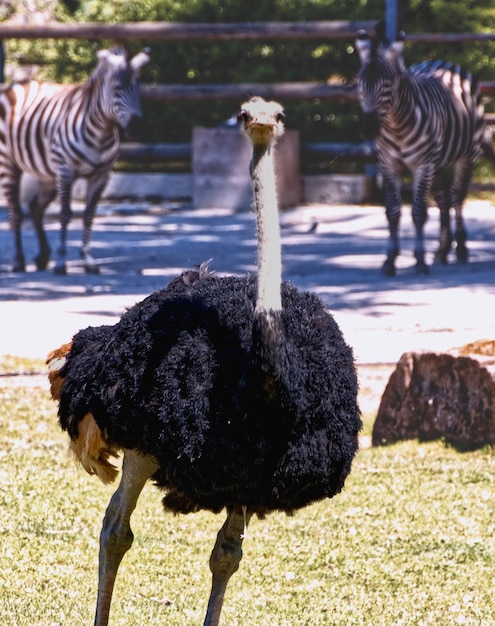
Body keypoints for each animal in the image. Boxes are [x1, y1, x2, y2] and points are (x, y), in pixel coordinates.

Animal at [0, 45, 151, 274]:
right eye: (117, 89)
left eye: (139, 89)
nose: (136, 129)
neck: (100, 132)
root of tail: (17, 84)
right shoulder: (66, 171)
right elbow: (66, 213)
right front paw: (61, 261)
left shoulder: (102, 175)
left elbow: (89, 214)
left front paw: (88, 259)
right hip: (9, 163)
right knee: (16, 211)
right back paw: (18, 261)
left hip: (47, 175)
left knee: (35, 208)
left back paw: (42, 256)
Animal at [354, 31, 486, 276]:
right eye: (359, 82)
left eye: (387, 83)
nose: (369, 128)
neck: (396, 127)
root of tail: (443, 62)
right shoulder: (388, 164)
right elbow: (393, 211)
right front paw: (390, 260)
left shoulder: (422, 165)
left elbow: (419, 213)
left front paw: (420, 261)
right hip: (438, 163)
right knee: (443, 200)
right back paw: (442, 250)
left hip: (466, 155)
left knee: (457, 197)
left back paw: (461, 248)